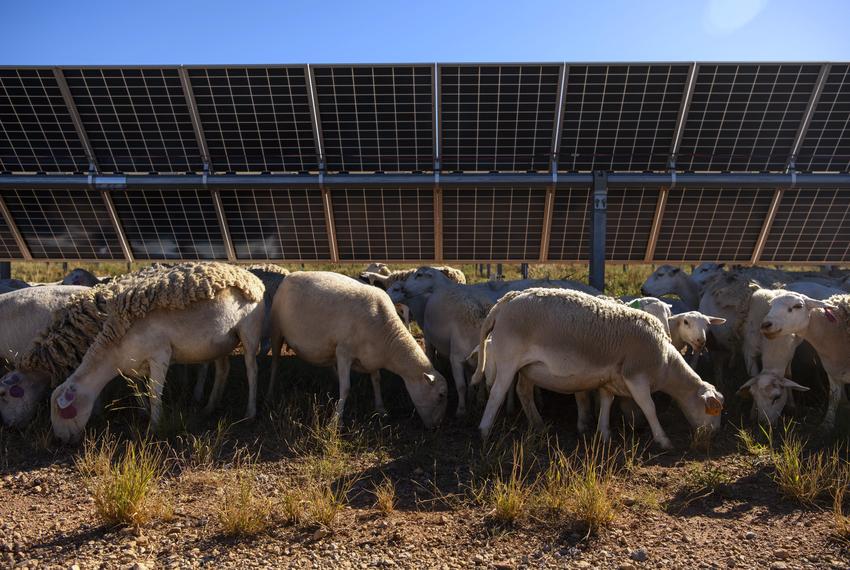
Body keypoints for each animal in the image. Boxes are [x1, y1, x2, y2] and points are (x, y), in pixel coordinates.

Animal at [49, 262, 264, 444]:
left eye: (62, 411)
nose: (60, 440)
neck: (114, 351)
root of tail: (251, 277)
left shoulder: (160, 355)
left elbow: (154, 393)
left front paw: (154, 426)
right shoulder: (134, 364)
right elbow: (138, 389)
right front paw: (144, 412)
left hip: (249, 332)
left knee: (252, 371)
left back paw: (250, 413)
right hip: (221, 342)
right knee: (223, 370)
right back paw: (210, 407)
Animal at [268, 270, 448, 426]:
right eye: (440, 396)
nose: (437, 426)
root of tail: (290, 275)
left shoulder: (372, 358)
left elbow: (376, 380)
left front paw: (381, 409)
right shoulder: (344, 353)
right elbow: (346, 388)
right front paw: (336, 421)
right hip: (276, 329)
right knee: (275, 362)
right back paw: (272, 390)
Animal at [470, 288, 724, 444]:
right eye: (712, 410)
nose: (713, 434)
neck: (665, 361)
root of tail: (506, 300)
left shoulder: (610, 379)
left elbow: (606, 402)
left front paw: (604, 433)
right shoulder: (636, 377)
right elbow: (649, 407)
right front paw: (663, 439)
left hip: (528, 367)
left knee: (523, 392)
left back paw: (538, 425)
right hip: (508, 360)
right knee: (497, 393)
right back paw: (483, 431)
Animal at [760, 290, 844, 428]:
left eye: (798, 306)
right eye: (771, 305)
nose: (765, 325)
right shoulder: (833, 372)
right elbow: (834, 397)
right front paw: (827, 424)